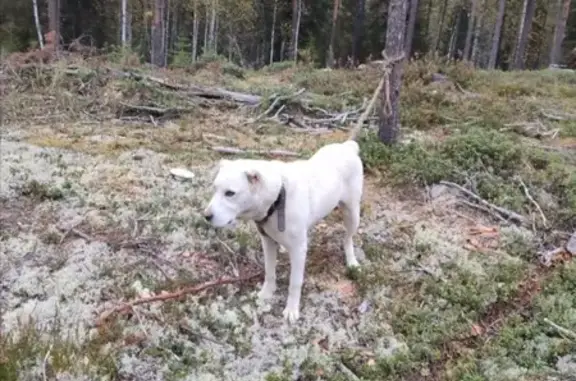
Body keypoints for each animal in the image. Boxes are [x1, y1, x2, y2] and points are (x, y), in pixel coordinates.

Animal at [205, 139, 362, 320]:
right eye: (214, 189)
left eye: (230, 193)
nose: (206, 216)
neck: (278, 198)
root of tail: (348, 146)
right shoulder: (267, 242)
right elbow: (269, 271)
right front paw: (267, 292)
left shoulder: (299, 250)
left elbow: (295, 282)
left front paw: (292, 309)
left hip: (352, 215)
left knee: (348, 239)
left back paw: (351, 261)